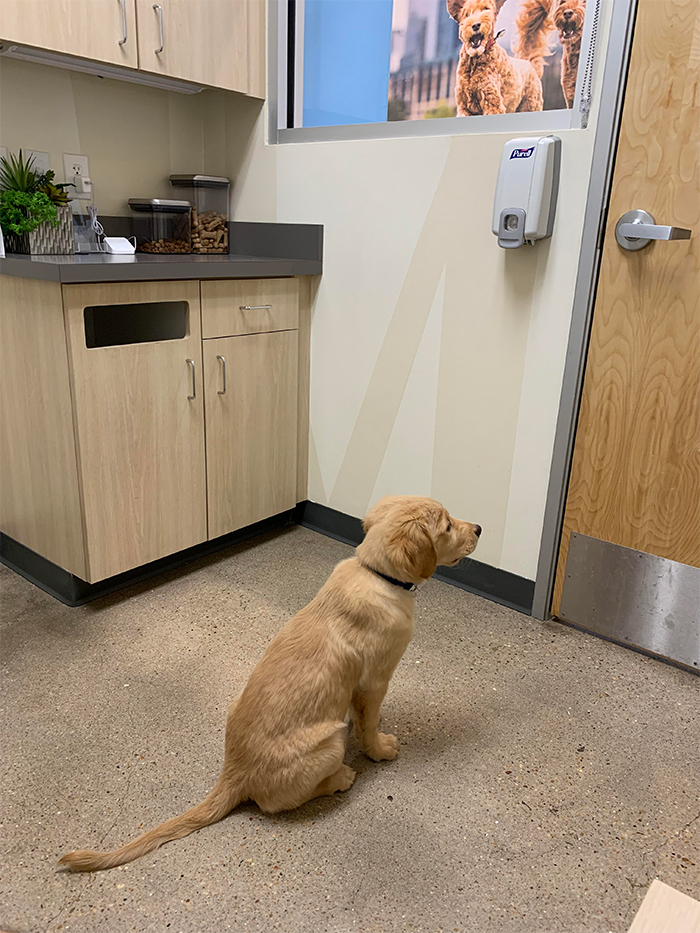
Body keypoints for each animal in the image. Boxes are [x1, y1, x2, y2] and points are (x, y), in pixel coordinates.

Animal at [58, 498, 482, 872]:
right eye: (447, 526)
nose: (479, 528)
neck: (376, 573)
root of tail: (235, 772)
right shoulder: (376, 679)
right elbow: (369, 723)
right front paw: (380, 748)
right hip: (330, 743)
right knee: (282, 802)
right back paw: (341, 778)